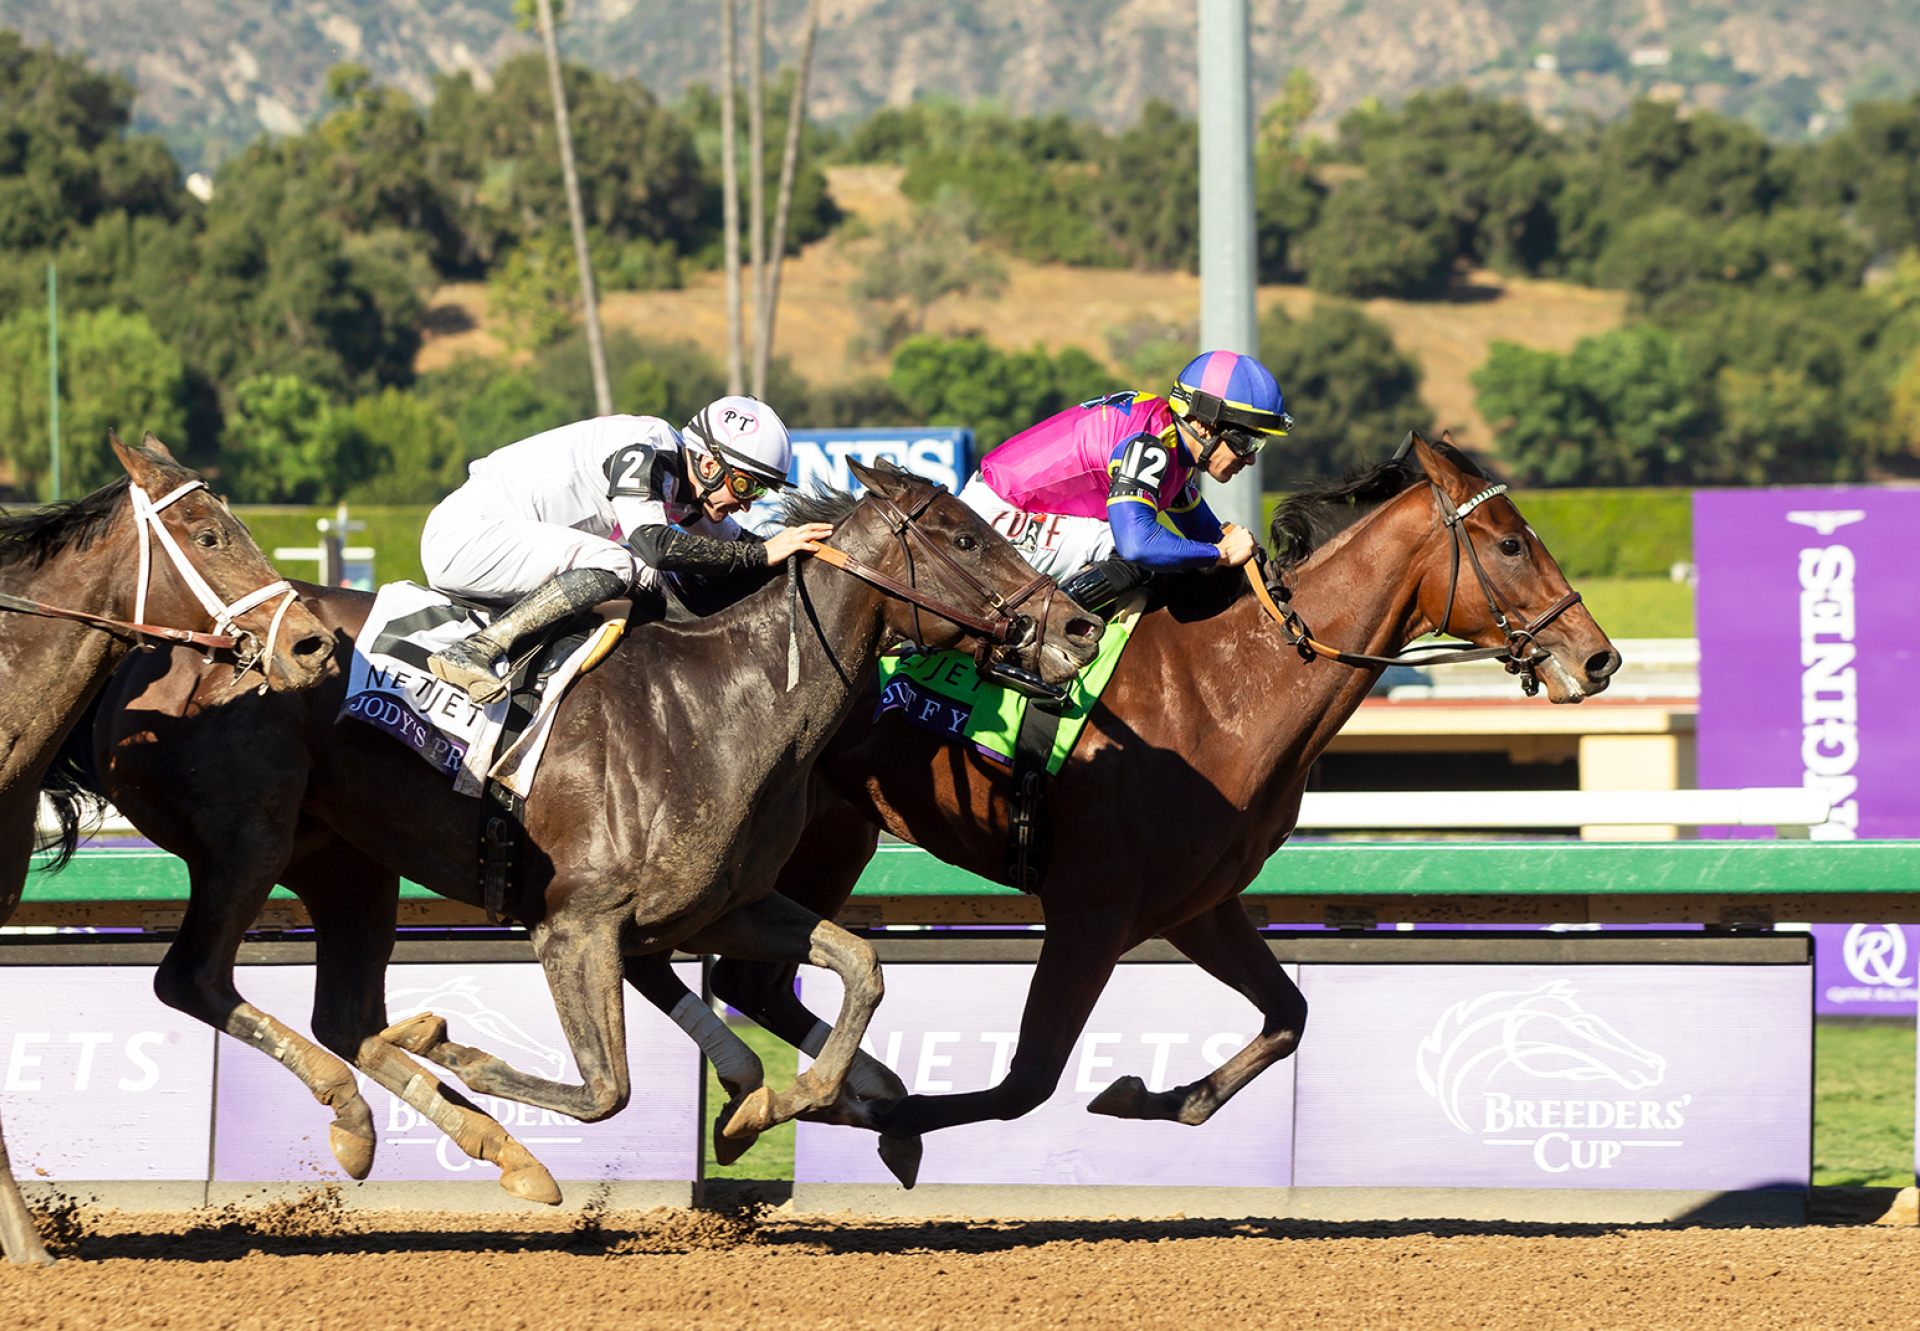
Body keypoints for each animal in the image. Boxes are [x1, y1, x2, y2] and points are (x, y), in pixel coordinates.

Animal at [90, 464, 1105, 1206]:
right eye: (967, 535)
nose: (1079, 624)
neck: (725, 702)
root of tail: (158, 653)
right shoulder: (575, 924)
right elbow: (604, 1088)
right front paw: (453, 1045)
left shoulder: (722, 907)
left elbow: (861, 967)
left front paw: (765, 1108)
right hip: (250, 837)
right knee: (198, 979)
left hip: (346, 860)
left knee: (342, 1012)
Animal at [668, 434, 1612, 1175]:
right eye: (1511, 543)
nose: (1598, 657)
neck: (1232, 685)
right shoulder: (1091, 910)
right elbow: (1027, 1079)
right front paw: (884, 1122)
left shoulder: (1198, 905)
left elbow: (1289, 1015)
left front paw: (1143, 1094)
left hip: (828, 836)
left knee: (753, 979)